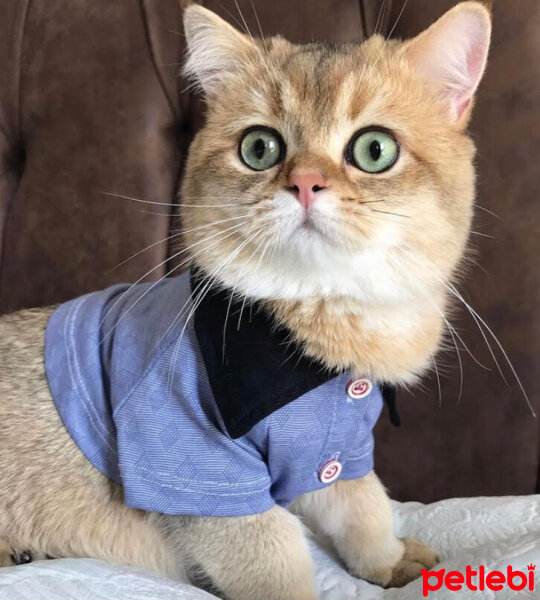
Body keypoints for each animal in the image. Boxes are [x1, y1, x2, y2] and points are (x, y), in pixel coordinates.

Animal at [0, 2, 492, 596]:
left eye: (375, 150)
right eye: (260, 148)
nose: (305, 184)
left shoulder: (338, 451)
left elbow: (365, 506)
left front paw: (388, 561)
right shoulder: (204, 470)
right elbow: (277, 561)